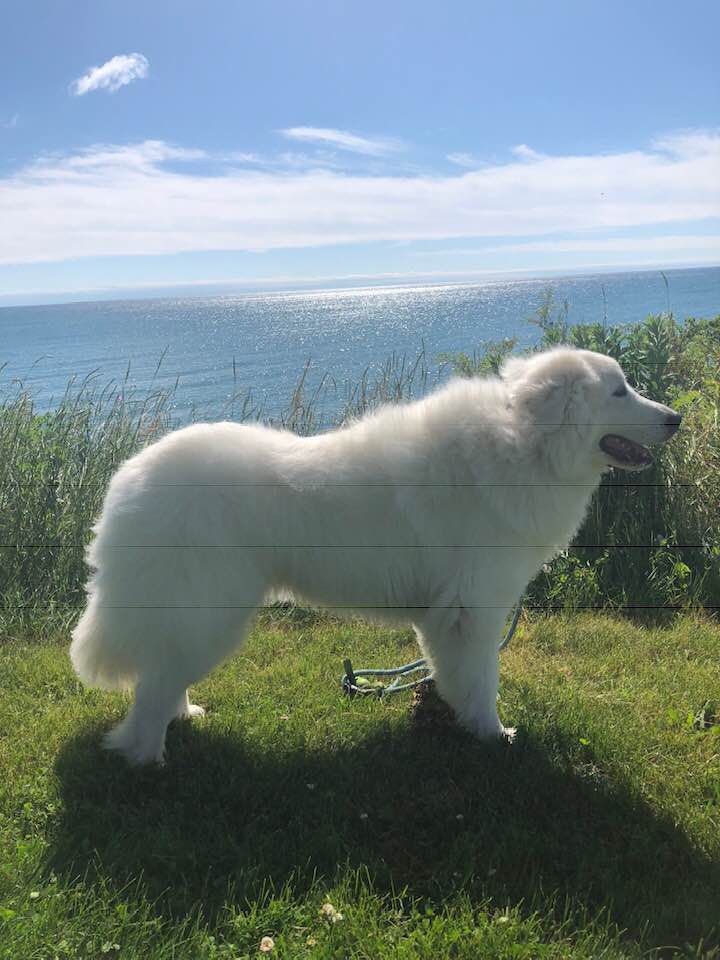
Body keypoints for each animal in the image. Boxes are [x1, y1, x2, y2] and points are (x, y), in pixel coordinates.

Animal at [70, 348, 684, 760]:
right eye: (618, 391)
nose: (676, 419)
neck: (525, 444)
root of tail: (130, 478)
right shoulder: (470, 612)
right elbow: (481, 679)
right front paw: (493, 736)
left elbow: (458, 677)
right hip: (206, 610)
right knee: (151, 691)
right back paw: (147, 758)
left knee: (163, 674)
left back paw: (183, 717)